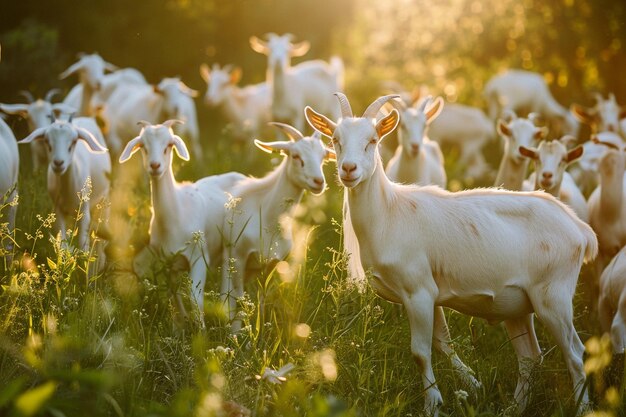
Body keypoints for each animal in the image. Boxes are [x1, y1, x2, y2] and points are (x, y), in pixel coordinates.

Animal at [119, 120, 241, 316]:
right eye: (143, 146)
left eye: (169, 145)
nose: (155, 166)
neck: (177, 212)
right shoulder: (168, 262)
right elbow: (173, 295)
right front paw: (181, 322)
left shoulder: (199, 257)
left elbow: (195, 299)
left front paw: (199, 325)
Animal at [221, 122, 334, 330]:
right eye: (295, 156)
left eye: (323, 157)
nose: (318, 182)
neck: (267, 217)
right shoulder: (238, 257)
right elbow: (239, 300)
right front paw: (236, 334)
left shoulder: (270, 264)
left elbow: (261, 301)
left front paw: (258, 334)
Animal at [306, 92, 596, 414]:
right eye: (335, 139)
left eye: (373, 140)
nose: (348, 169)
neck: (390, 213)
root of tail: (579, 228)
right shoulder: (430, 293)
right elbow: (443, 344)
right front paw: (472, 385)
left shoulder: (418, 290)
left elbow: (420, 352)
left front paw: (433, 404)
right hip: (518, 305)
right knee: (530, 357)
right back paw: (512, 409)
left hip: (553, 296)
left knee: (575, 352)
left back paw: (582, 408)